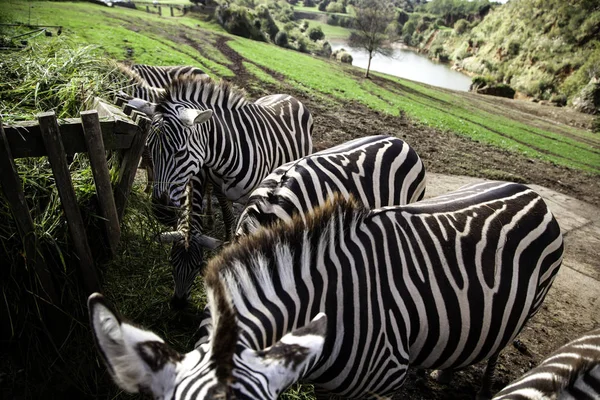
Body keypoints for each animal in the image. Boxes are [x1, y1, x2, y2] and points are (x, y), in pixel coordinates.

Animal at [88, 182, 564, 400]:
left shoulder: (385, 381)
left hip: (528, 307)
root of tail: (532, 191)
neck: (329, 304)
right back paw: (443, 373)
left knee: (499, 348)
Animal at [137, 76, 314, 310]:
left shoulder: (252, 196)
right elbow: (229, 217)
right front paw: (226, 241)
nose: (160, 212)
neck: (223, 154)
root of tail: (290, 96)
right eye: (149, 147)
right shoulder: (218, 186)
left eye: (180, 152)